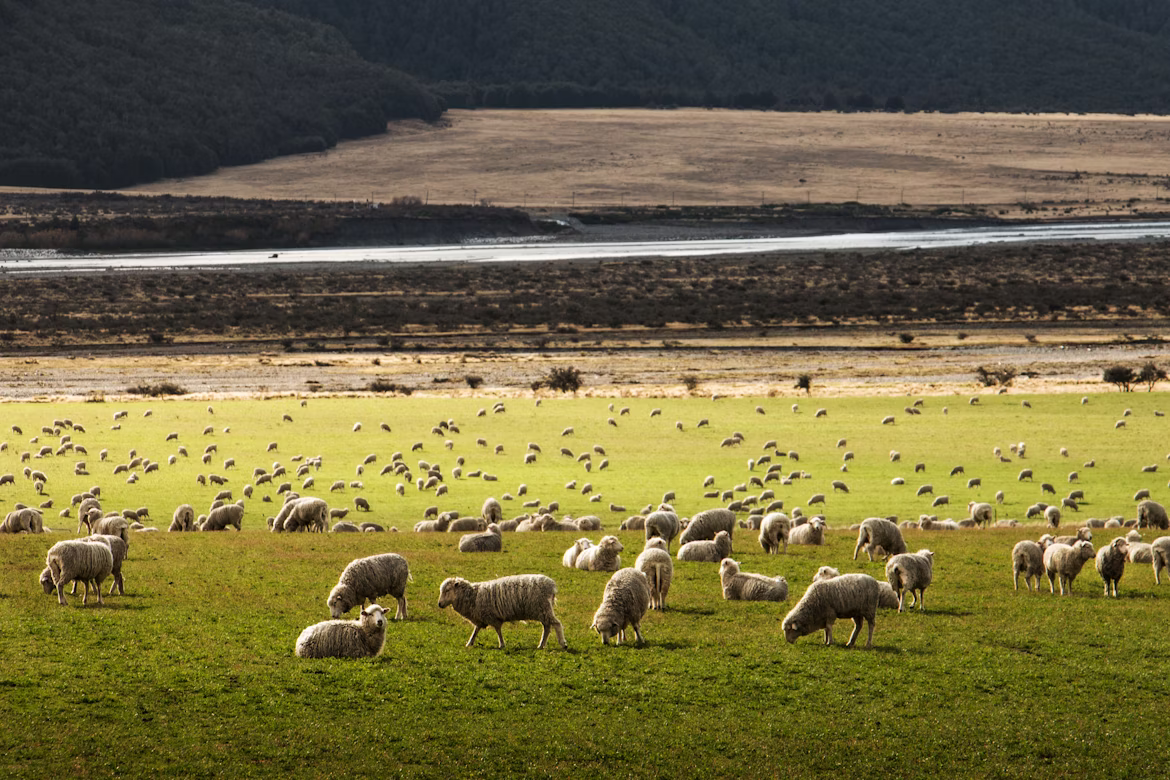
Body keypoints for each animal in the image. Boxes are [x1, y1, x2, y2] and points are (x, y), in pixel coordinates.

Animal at [437, 574, 567, 649]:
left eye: (447, 590)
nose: (439, 604)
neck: (473, 596)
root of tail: (551, 585)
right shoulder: (480, 617)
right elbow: (476, 630)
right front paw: (470, 643)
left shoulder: (492, 616)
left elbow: (498, 630)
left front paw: (502, 644)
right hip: (543, 610)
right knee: (547, 627)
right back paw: (541, 645)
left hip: (543, 608)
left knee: (556, 624)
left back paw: (562, 643)